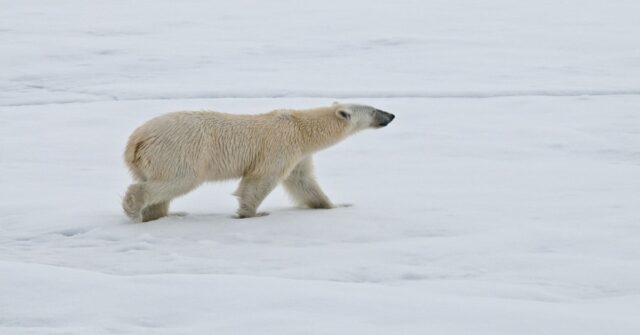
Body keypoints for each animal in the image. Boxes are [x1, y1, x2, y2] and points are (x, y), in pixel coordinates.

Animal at [123, 102, 396, 223]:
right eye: (373, 110)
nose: (392, 115)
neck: (301, 129)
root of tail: (136, 139)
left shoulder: (298, 156)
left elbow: (304, 183)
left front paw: (335, 206)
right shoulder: (280, 147)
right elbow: (260, 180)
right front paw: (253, 213)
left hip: (148, 160)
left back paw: (160, 215)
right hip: (179, 151)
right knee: (177, 181)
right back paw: (134, 209)